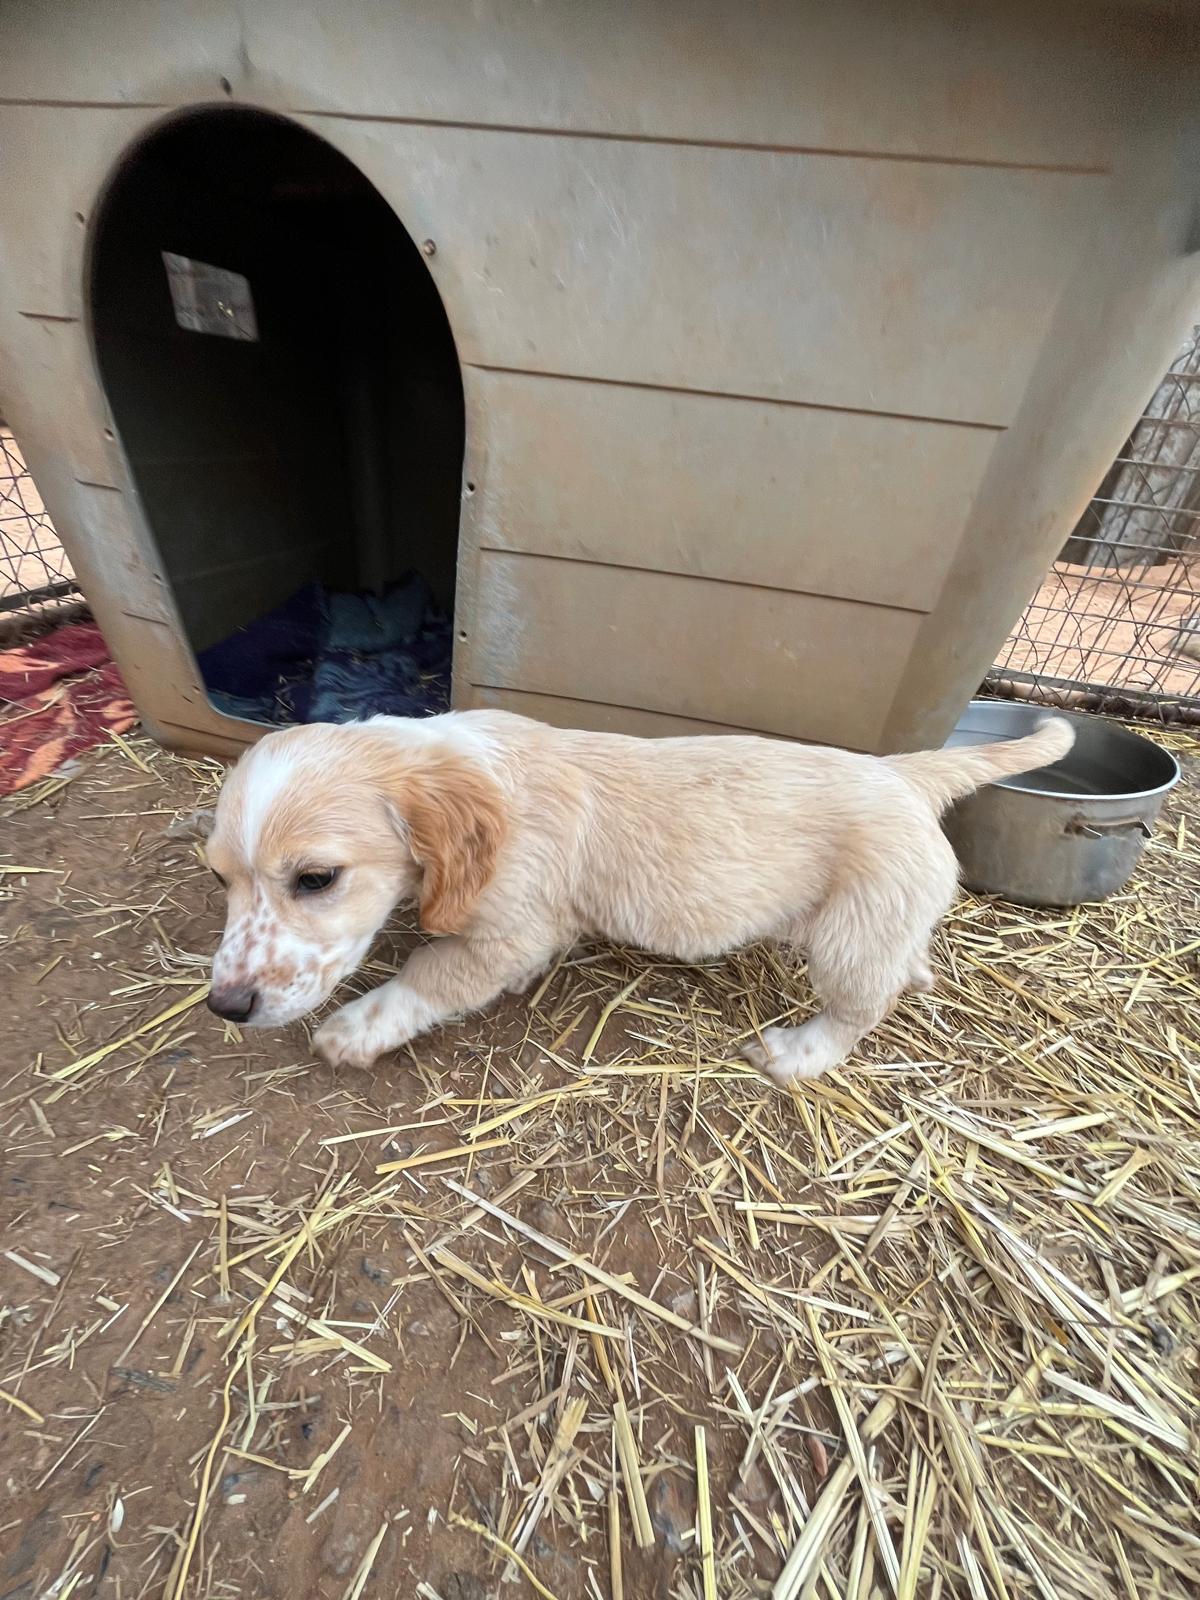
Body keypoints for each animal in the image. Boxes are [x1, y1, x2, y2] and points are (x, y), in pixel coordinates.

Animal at [203, 709, 1074, 1082]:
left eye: (316, 879)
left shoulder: (509, 932)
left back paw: (797, 1054)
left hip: (847, 940)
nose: (225, 1008)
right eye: (220, 879)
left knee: (860, 1008)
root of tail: (906, 773)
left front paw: (354, 1030)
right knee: (908, 962)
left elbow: (424, 975)